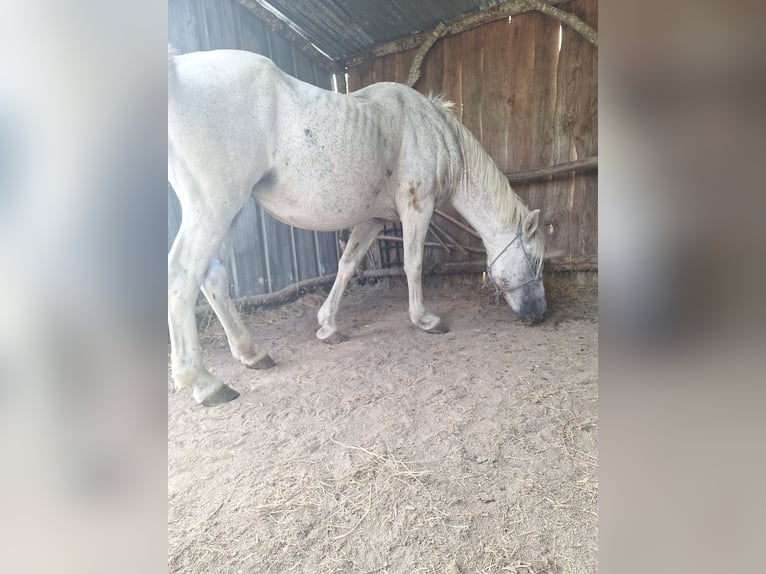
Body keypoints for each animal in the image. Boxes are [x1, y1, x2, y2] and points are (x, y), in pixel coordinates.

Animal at [168, 48, 547, 406]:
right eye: (533, 261)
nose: (540, 314)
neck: (434, 131)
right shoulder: (417, 208)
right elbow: (413, 265)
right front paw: (425, 319)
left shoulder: (372, 220)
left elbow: (347, 265)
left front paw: (328, 326)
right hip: (214, 207)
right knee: (182, 275)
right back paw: (205, 382)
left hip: (228, 214)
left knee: (214, 276)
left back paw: (251, 354)